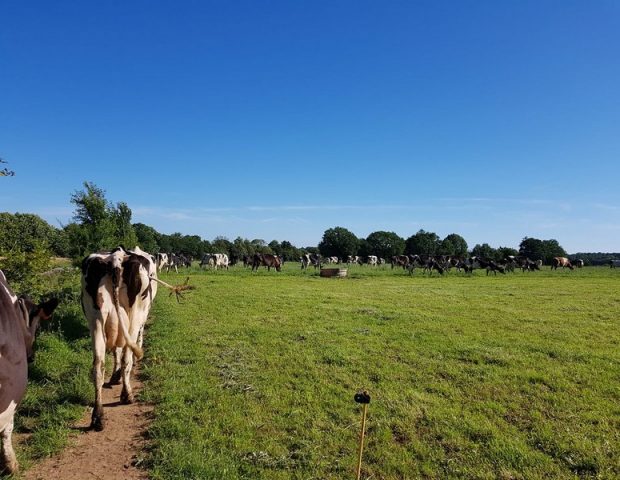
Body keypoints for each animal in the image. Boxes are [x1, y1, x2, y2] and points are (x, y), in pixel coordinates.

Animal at [80, 248, 157, 432]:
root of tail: (117, 257)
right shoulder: (142, 320)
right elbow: (133, 345)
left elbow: (116, 350)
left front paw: (115, 375)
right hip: (134, 316)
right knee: (126, 358)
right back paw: (127, 395)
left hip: (96, 320)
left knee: (98, 365)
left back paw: (98, 416)